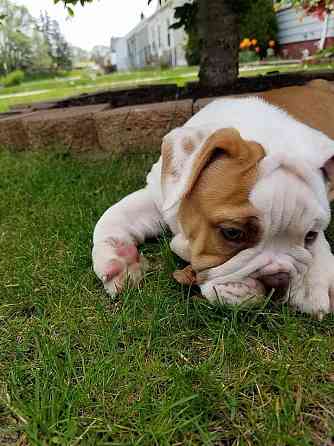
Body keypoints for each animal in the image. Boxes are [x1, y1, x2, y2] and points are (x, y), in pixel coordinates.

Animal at [92, 80, 334, 318]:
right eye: (232, 233)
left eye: (310, 236)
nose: (278, 281)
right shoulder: (158, 197)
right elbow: (114, 214)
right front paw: (117, 258)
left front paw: (316, 282)